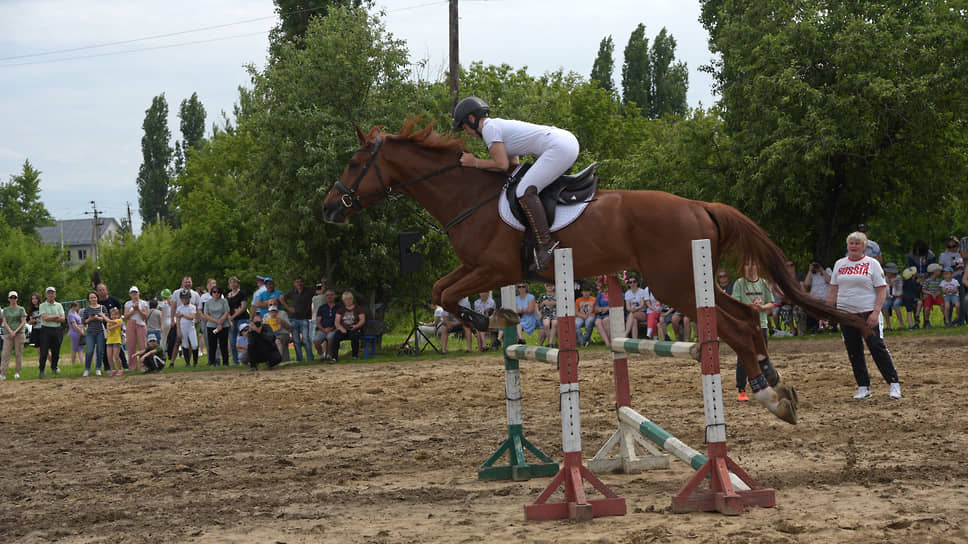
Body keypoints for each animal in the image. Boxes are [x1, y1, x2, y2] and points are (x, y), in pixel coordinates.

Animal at [326, 119, 868, 424]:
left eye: (354, 162)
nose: (330, 208)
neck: (469, 197)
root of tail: (699, 206)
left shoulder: (490, 266)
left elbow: (443, 293)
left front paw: (489, 320)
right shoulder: (481, 269)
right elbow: (442, 290)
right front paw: (497, 320)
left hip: (675, 283)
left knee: (734, 326)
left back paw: (768, 395)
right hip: (692, 281)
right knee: (749, 318)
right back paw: (774, 385)